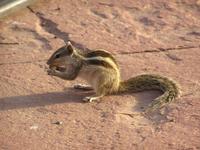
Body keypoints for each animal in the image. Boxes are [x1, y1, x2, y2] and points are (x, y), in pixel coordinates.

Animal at [46, 41, 180, 111]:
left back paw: (91, 97)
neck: (76, 58)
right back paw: (83, 86)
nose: (47, 62)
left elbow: (69, 77)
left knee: (102, 94)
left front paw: (52, 71)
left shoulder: (76, 68)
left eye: (57, 55)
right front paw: (56, 68)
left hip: (101, 80)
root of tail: (116, 86)